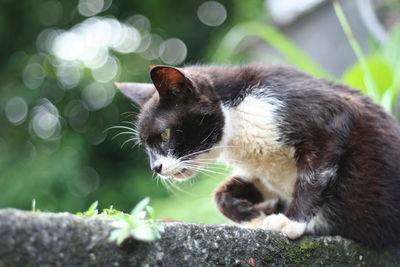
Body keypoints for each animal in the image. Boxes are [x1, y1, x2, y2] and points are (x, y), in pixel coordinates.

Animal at [115, 63, 400, 248]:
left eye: (164, 135)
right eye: (145, 145)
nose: (155, 167)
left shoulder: (330, 117)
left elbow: (313, 176)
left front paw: (290, 220)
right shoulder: (263, 173)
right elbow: (220, 195)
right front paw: (253, 216)